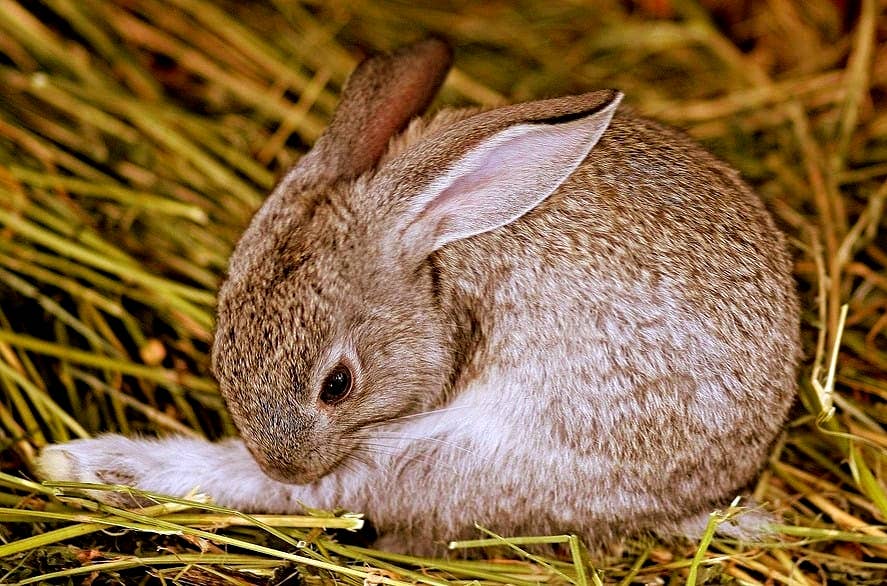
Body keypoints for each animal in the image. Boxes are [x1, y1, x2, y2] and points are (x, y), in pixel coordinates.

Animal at [37, 38, 801, 556]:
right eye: (220, 350)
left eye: (337, 385)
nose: (283, 457)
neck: (438, 266)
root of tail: (703, 493)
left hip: (463, 456)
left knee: (330, 496)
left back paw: (86, 463)